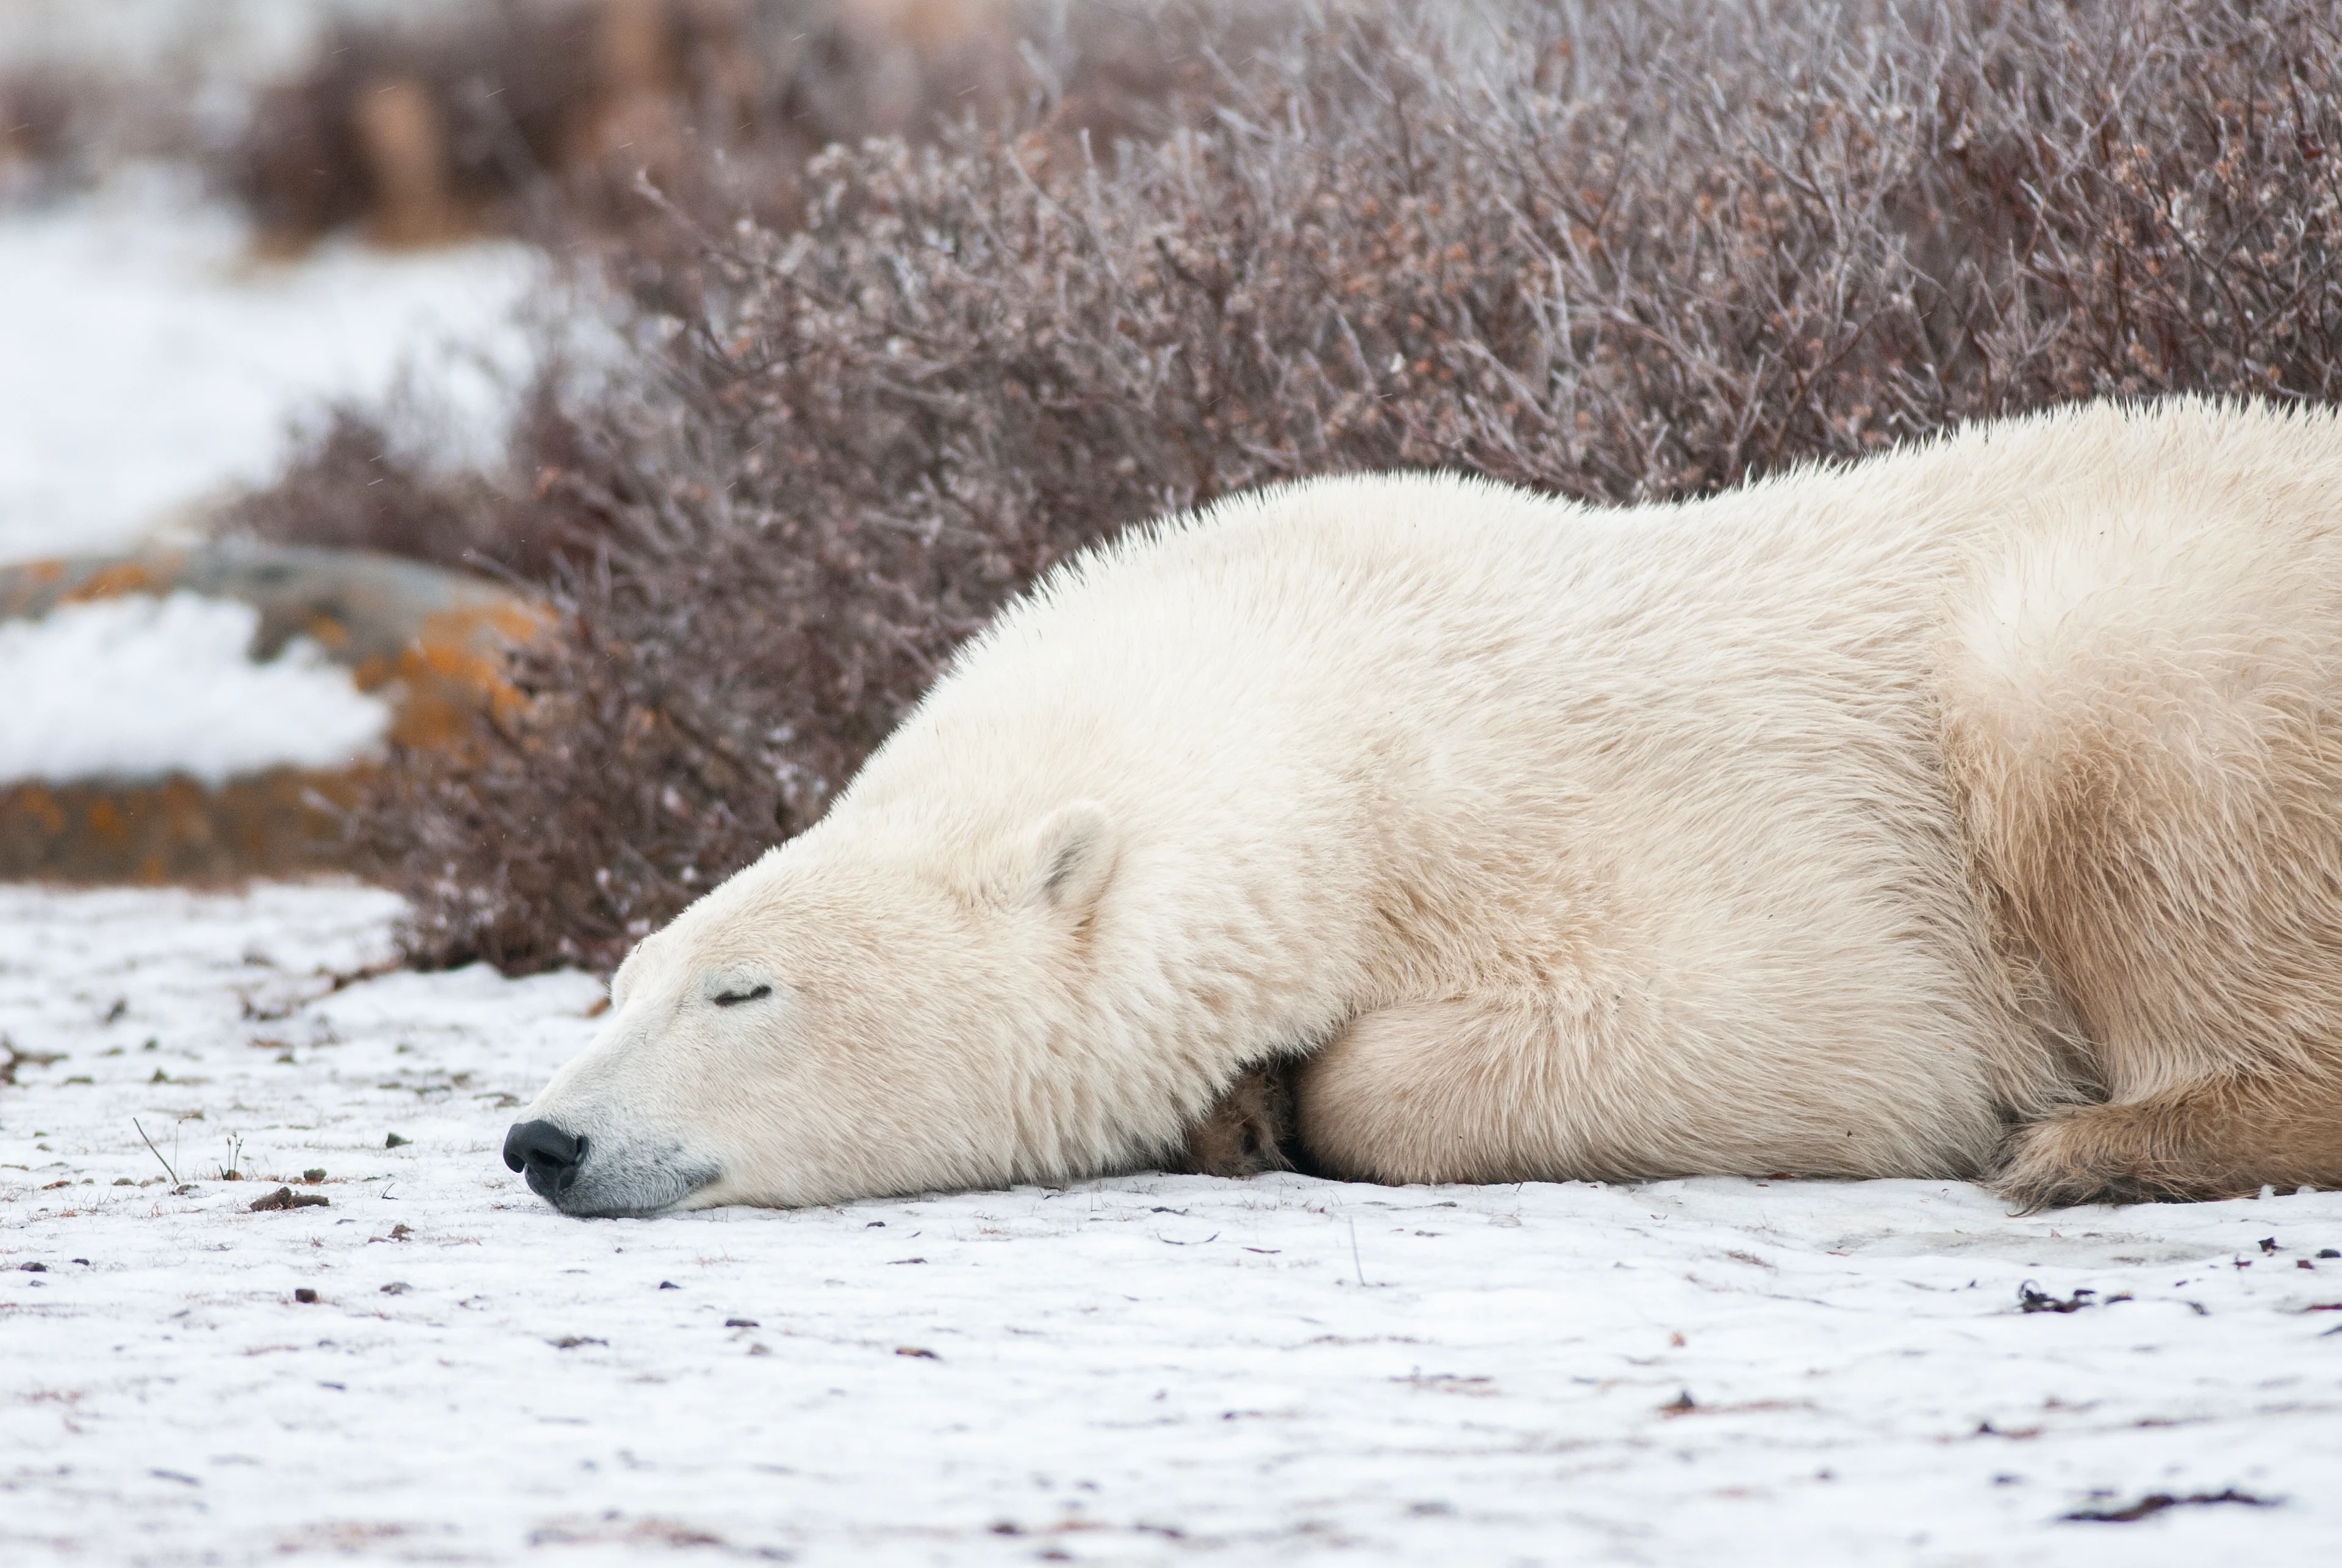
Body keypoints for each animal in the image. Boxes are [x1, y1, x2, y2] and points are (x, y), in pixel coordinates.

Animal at [503, 397, 2342, 1217]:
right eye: (627, 980)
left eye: (745, 990)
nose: (543, 1139)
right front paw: (1233, 1101)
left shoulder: (1676, 817)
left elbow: (1837, 1038)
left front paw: (1289, 1095)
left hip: (2148, 649)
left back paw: (2101, 1143)